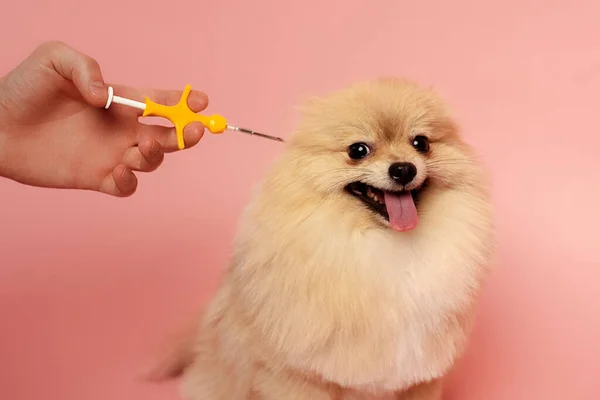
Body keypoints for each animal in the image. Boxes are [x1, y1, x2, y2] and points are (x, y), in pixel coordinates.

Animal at [152, 76, 494, 398]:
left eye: (421, 142)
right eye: (358, 150)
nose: (403, 169)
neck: (386, 245)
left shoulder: (421, 376)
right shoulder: (297, 375)